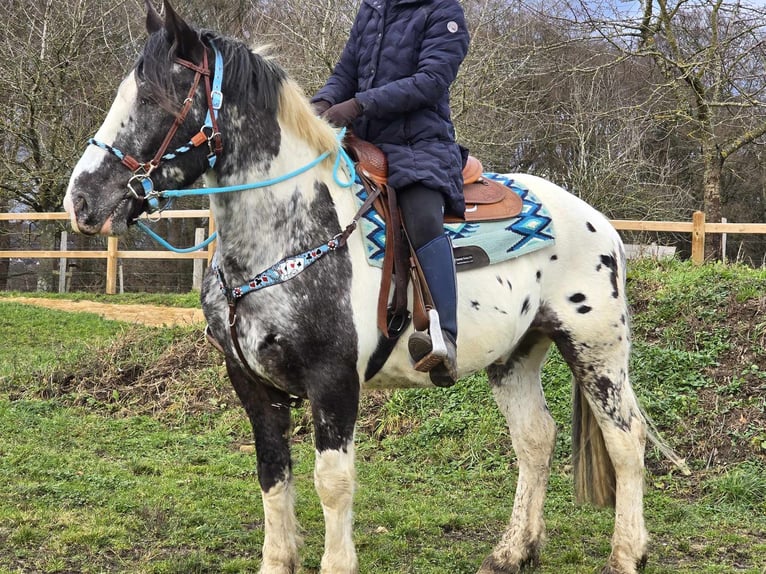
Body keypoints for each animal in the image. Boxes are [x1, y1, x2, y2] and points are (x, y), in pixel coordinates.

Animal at [64, 2, 684, 572]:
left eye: (152, 99)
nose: (82, 203)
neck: (290, 237)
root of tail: (599, 221)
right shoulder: (251, 383)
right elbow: (272, 476)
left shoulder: (334, 381)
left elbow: (332, 482)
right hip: (514, 356)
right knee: (535, 440)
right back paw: (512, 552)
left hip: (597, 350)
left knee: (627, 441)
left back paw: (626, 553)